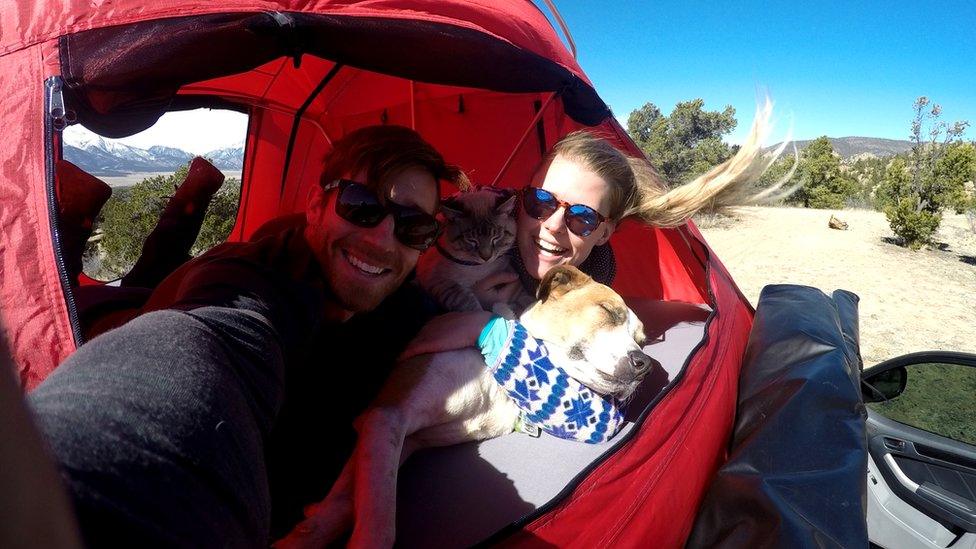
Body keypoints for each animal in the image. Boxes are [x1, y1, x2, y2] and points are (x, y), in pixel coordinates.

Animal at [274, 264, 656, 544]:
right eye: (607, 311)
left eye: (642, 340)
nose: (644, 364)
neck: (497, 385)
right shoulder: (387, 416)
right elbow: (379, 520)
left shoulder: (397, 434)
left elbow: (349, 499)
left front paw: (309, 526)